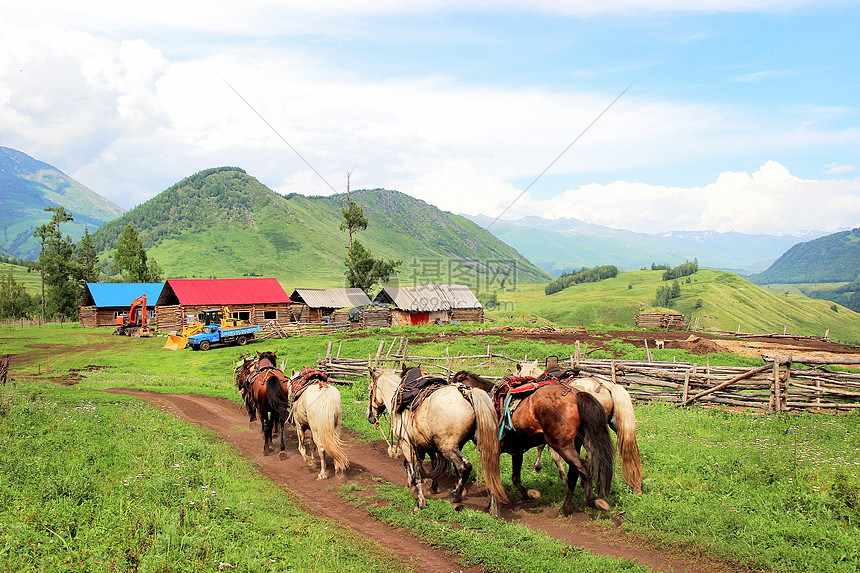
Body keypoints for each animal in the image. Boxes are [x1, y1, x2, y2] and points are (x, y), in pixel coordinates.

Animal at [366, 368, 508, 516]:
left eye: (370, 389)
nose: (369, 415)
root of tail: (467, 394)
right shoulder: (421, 446)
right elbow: (416, 466)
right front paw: (416, 487)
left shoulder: (406, 444)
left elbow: (416, 471)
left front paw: (420, 502)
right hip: (480, 445)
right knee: (488, 469)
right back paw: (492, 507)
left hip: (448, 448)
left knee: (464, 467)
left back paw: (456, 499)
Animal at [454, 368, 616, 516]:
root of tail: (576, 394)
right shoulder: (516, 451)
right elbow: (515, 478)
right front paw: (529, 494)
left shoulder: (490, 450)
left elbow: (492, 479)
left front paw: (492, 507)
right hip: (574, 444)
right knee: (574, 474)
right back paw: (565, 509)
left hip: (562, 445)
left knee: (584, 467)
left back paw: (594, 501)